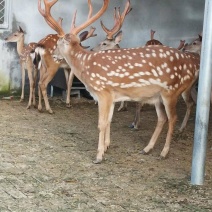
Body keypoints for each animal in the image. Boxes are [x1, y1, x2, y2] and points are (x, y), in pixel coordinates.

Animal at [37, 0, 200, 163]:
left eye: (59, 43)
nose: (54, 55)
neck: (85, 65)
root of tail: (193, 66)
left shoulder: (103, 91)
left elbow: (101, 123)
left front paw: (98, 156)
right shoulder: (112, 96)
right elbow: (109, 120)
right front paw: (106, 147)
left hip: (172, 90)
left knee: (173, 118)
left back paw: (164, 152)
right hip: (157, 97)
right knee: (162, 118)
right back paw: (147, 149)